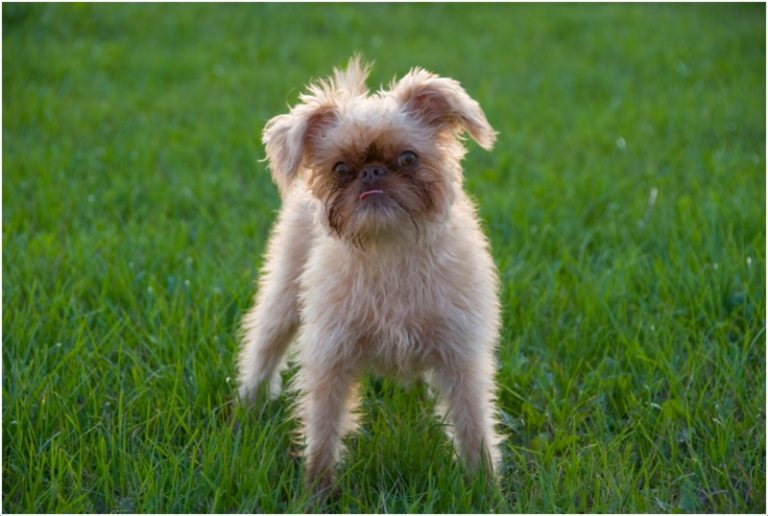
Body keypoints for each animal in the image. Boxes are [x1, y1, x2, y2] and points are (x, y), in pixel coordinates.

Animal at [240, 56, 504, 492]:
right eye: (341, 168)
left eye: (409, 158)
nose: (373, 173)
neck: (388, 248)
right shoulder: (330, 357)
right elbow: (323, 429)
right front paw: (316, 491)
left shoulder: (461, 356)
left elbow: (473, 425)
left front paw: (485, 488)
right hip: (283, 296)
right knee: (264, 348)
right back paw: (247, 406)